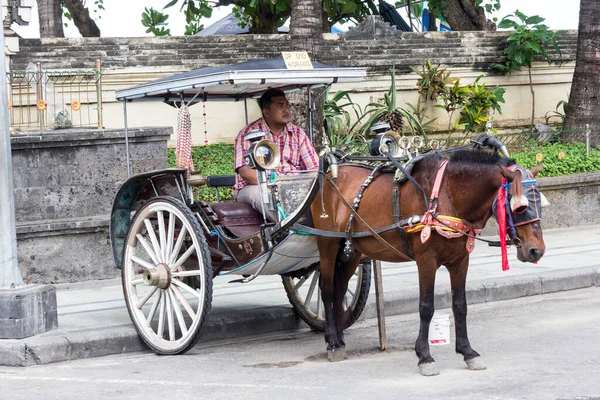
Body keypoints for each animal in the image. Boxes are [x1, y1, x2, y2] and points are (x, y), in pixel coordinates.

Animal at [312, 148, 548, 376]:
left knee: (340, 289)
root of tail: (329, 173)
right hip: (327, 243)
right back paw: (332, 341)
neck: (448, 195)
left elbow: (460, 305)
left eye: (540, 204)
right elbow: (426, 307)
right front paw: (424, 356)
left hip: (352, 250)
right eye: (520, 207)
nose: (537, 250)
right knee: (328, 290)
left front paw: (468, 352)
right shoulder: (426, 260)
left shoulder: (460, 260)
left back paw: (340, 339)